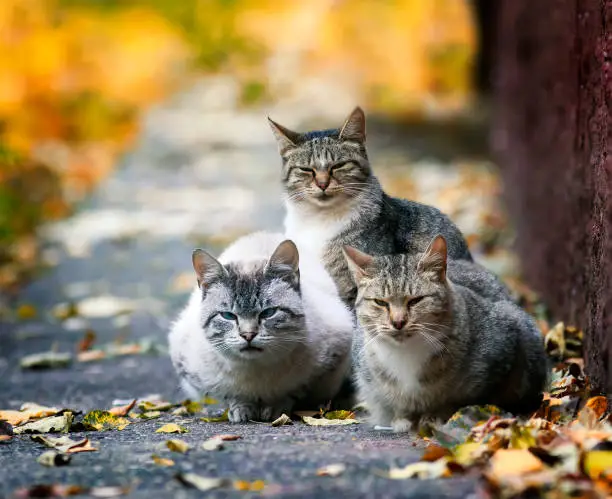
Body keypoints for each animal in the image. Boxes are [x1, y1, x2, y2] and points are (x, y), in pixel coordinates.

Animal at [169, 232, 354, 424]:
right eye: (228, 316)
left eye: (268, 313)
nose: (248, 335)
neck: (256, 370)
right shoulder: (193, 373)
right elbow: (231, 395)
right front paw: (242, 410)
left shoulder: (328, 362)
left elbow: (293, 391)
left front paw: (275, 410)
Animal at [344, 236, 548, 432]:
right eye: (380, 302)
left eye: (416, 300)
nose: (398, 322)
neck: (406, 353)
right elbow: (395, 403)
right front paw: (402, 419)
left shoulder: (503, 354)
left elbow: (458, 401)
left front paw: (434, 417)